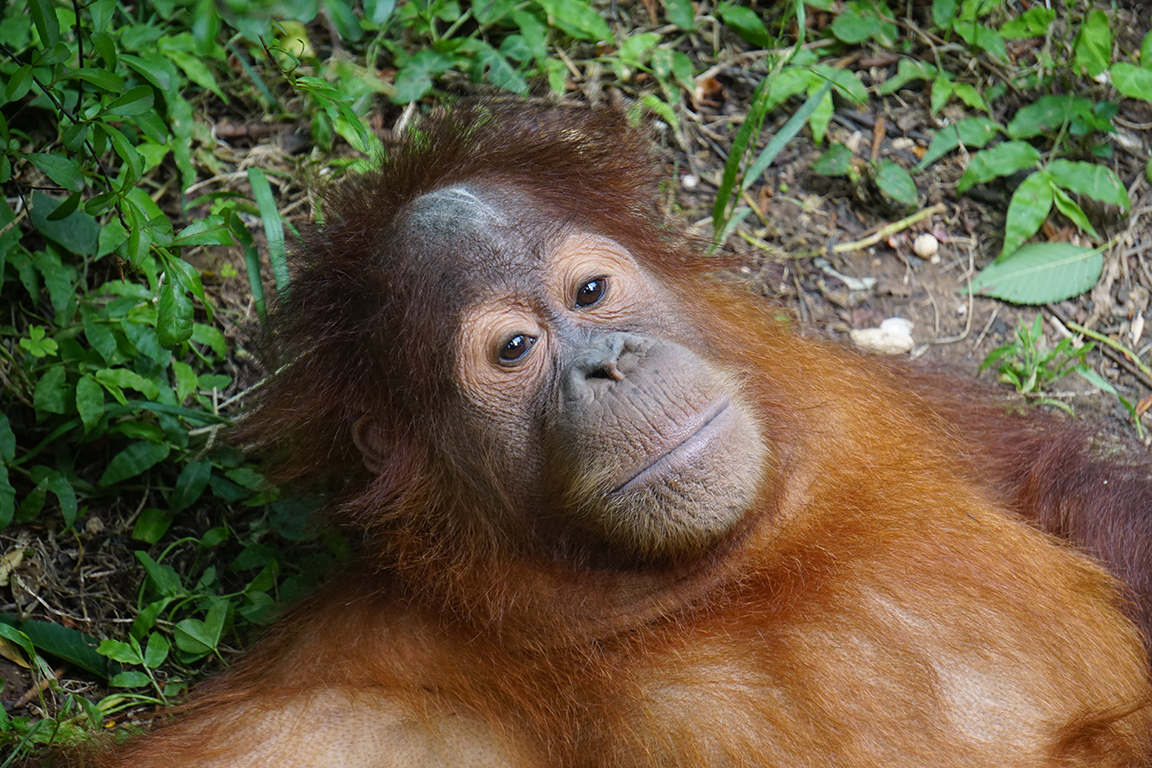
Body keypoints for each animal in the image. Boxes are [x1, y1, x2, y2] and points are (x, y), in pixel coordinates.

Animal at [89, 100, 1152, 767]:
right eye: (515, 348)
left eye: (592, 291)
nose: (608, 362)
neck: (722, 567)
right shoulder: (343, 691)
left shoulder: (882, 397)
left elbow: (1062, 488)